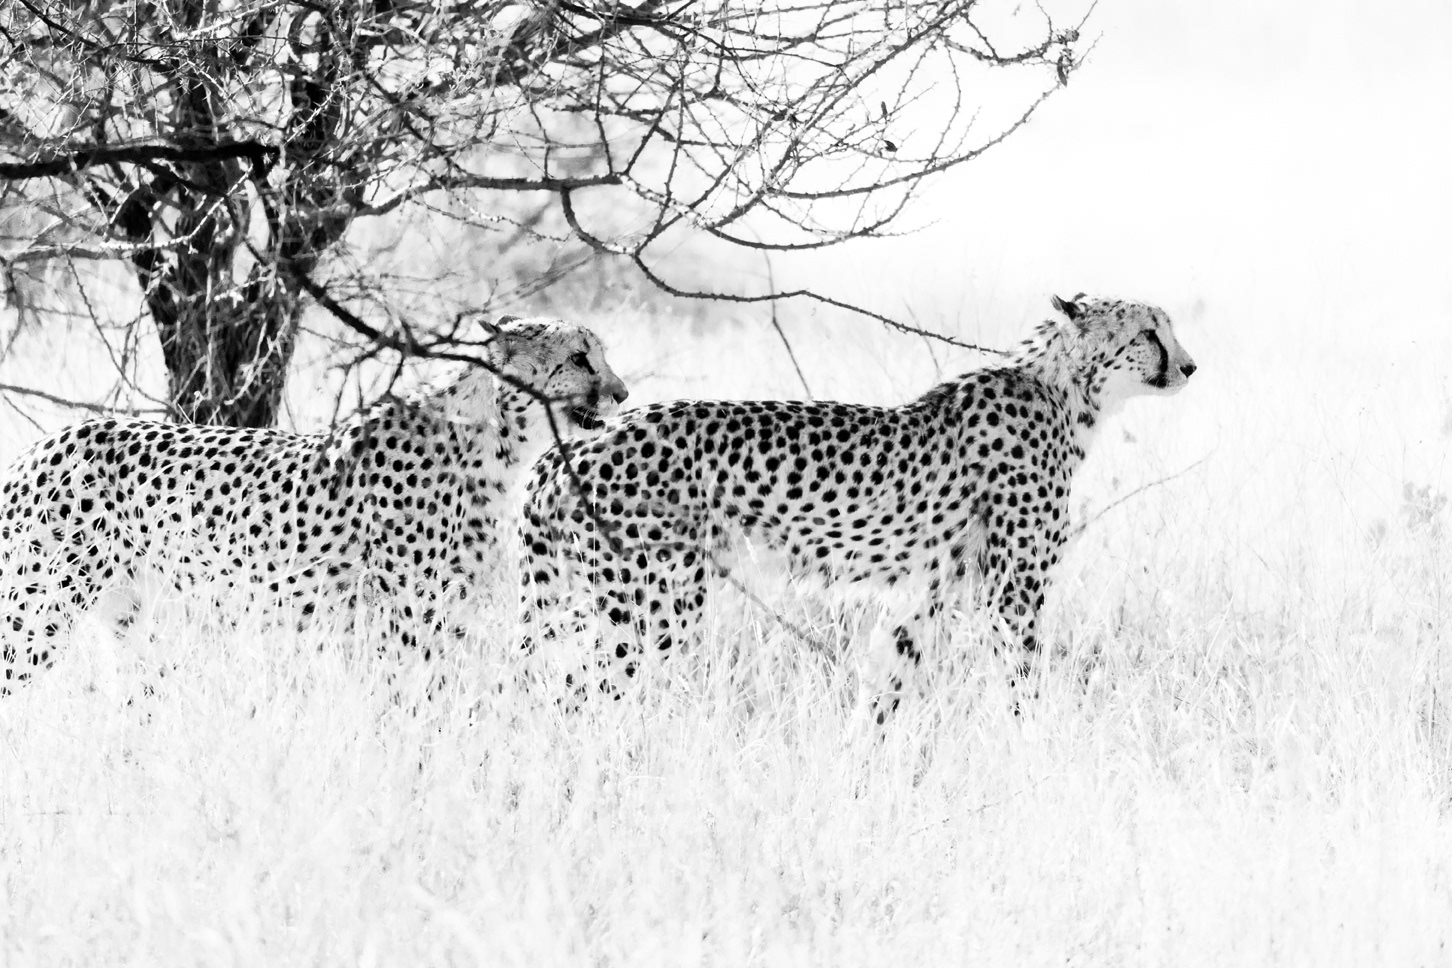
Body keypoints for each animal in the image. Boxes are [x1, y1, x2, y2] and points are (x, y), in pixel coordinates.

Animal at [0, 314, 628, 694]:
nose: (622, 394)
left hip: (133, 618)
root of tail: (41, 445)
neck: (494, 442)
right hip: (37, 611)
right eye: (580, 358)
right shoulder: (403, 623)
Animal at [516, 294, 1195, 719]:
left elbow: (886, 682)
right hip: (651, 603)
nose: (1190, 366)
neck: (1065, 392)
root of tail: (565, 450)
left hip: (584, 594)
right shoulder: (1012, 592)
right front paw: (1031, 748)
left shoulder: (922, 589)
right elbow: (1021, 679)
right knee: (575, 690)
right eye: (1148, 333)